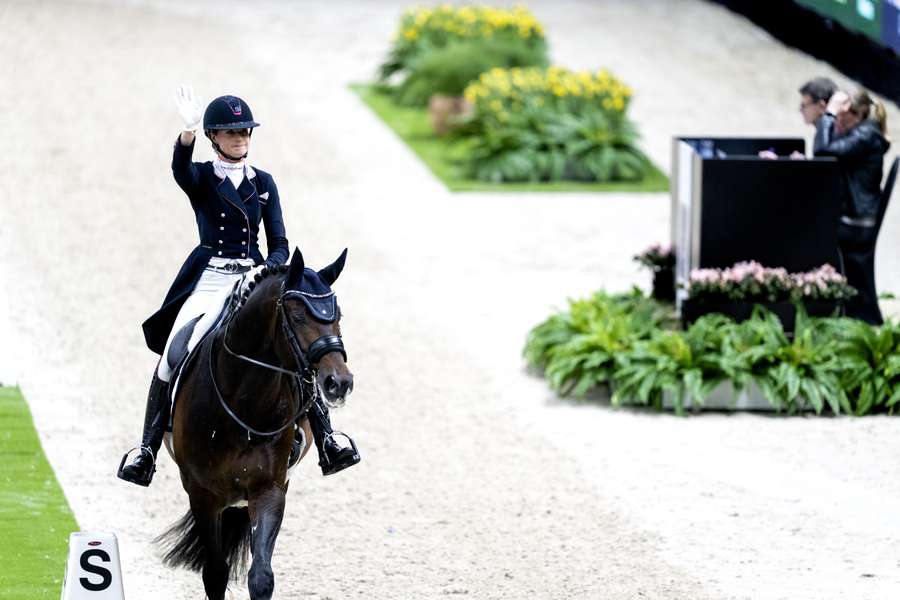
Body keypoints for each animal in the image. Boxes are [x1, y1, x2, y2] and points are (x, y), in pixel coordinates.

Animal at [156, 247, 354, 600]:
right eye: (298, 317)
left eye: (338, 316)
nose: (339, 383)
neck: (244, 400)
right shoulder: (203, 494)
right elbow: (215, 574)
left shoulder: (270, 487)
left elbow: (261, 577)